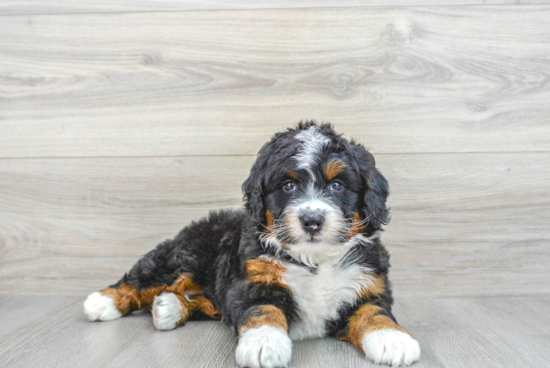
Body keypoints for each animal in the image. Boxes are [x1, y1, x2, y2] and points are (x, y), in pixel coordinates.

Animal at [84, 121, 422, 368]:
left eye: (338, 185)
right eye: (288, 185)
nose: (312, 220)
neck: (314, 259)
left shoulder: (368, 283)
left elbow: (374, 312)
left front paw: (393, 339)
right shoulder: (252, 282)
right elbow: (263, 310)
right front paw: (264, 344)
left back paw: (169, 308)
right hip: (182, 256)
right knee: (143, 278)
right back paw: (103, 302)